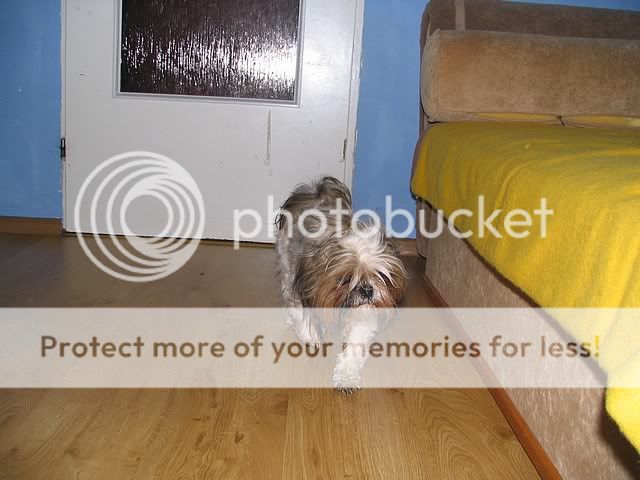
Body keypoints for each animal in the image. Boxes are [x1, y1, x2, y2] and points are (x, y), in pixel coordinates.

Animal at [275, 176, 407, 392]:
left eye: (379, 276)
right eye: (346, 279)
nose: (367, 290)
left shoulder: (362, 317)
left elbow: (354, 347)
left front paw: (346, 377)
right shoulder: (298, 289)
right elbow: (302, 316)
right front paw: (311, 337)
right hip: (286, 264)